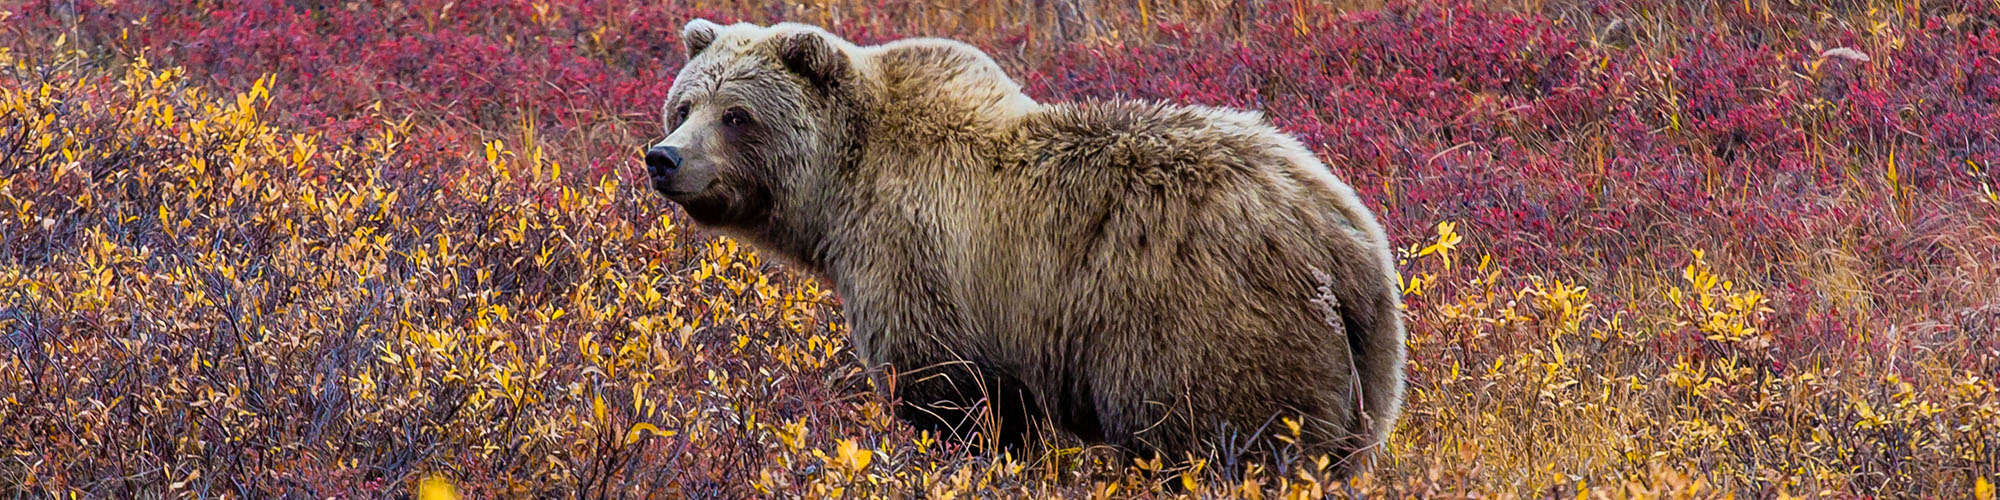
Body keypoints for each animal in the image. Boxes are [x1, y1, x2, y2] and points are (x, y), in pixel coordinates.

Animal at [644, 19, 1407, 475]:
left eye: (736, 115)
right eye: (683, 105)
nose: (664, 157)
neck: (839, 193)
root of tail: (1344, 244)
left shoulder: (920, 264)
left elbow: (954, 398)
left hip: (1207, 331)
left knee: (1227, 446)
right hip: (1367, 375)